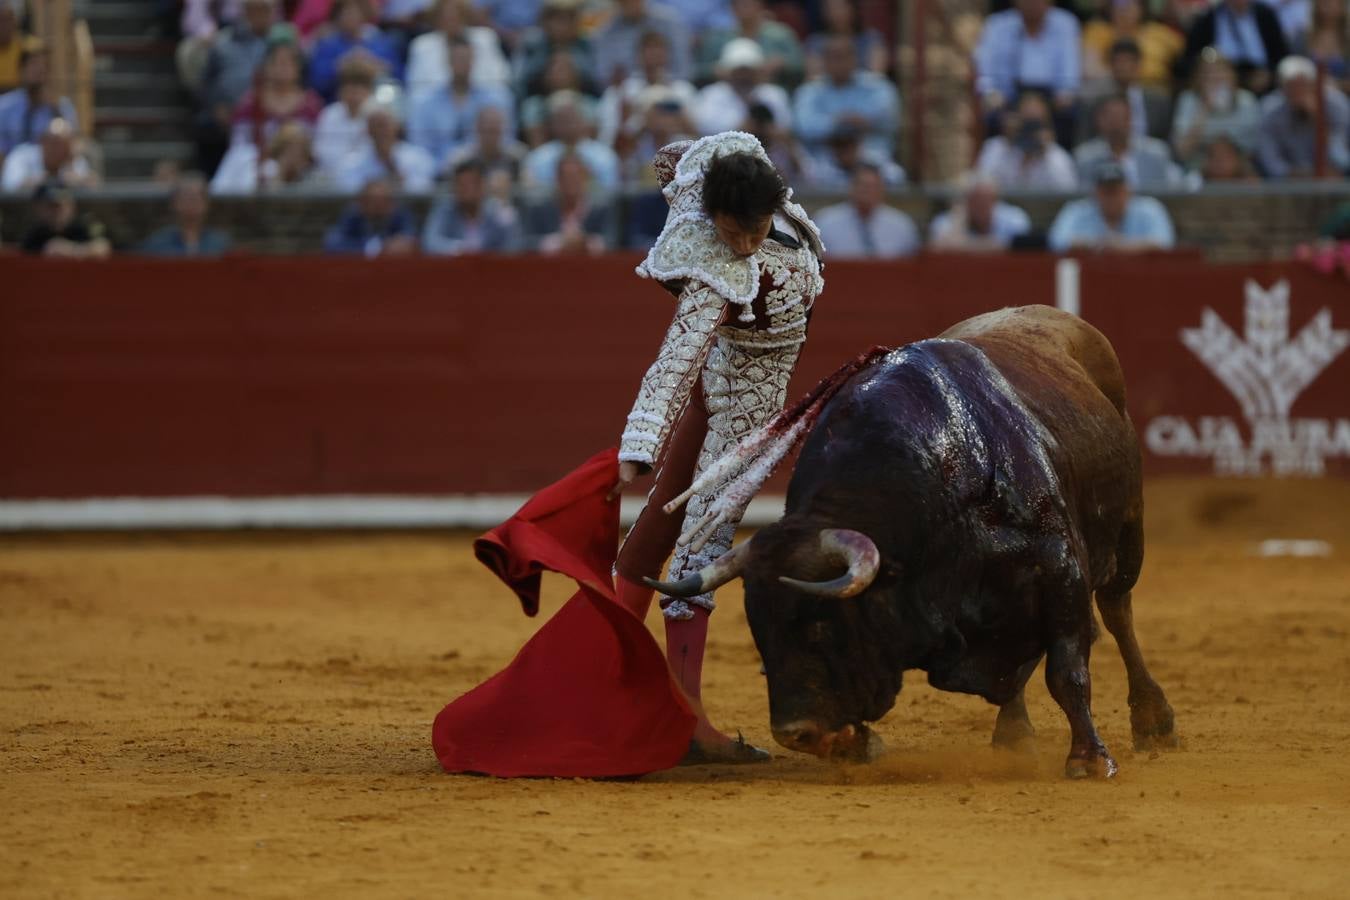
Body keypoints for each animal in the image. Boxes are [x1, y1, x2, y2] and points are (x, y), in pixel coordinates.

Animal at [648, 306, 1177, 777]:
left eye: (821, 627)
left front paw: (1090, 760)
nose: (794, 733)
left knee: (1116, 611)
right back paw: (1013, 733)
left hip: (1128, 533)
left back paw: (1154, 722)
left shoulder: (1059, 568)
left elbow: (1067, 670)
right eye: (759, 630)